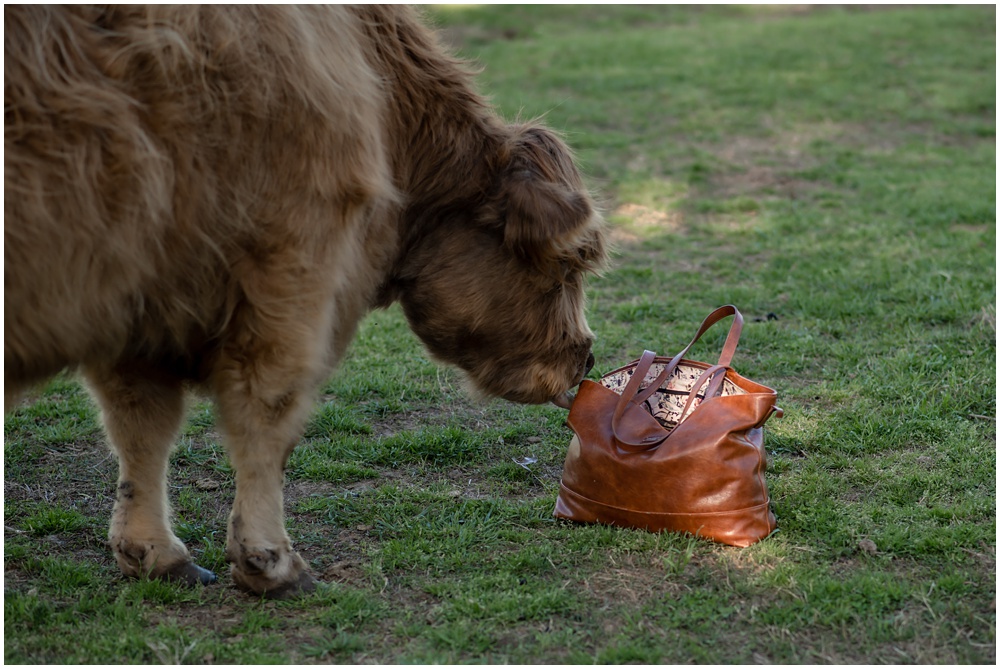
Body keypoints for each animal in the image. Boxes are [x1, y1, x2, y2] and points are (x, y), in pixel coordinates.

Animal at [3, 2, 604, 592]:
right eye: (566, 266)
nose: (586, 357)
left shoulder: (136, 304)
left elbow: (141, 428)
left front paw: (153, 553)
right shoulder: (293, 269)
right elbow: (267, 410)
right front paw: (269, 559)